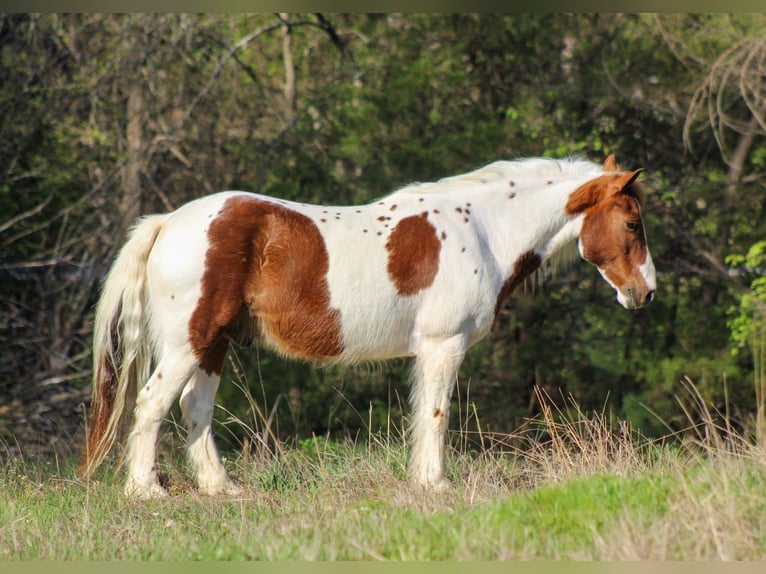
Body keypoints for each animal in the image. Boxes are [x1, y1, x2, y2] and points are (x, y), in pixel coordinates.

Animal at [80, 154, 656, 498]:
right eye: (632, 223)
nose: (645, 293)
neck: (482, 231)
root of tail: (167, 223)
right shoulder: (444, 345)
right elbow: (436, 415)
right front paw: (435, 486)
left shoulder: (431, 350)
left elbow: (423, 413)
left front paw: (423, 482)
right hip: (189, 342)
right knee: (151, 404)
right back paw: (146, 491)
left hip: (212, 344)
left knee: (194, 408)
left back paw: (222, 488)